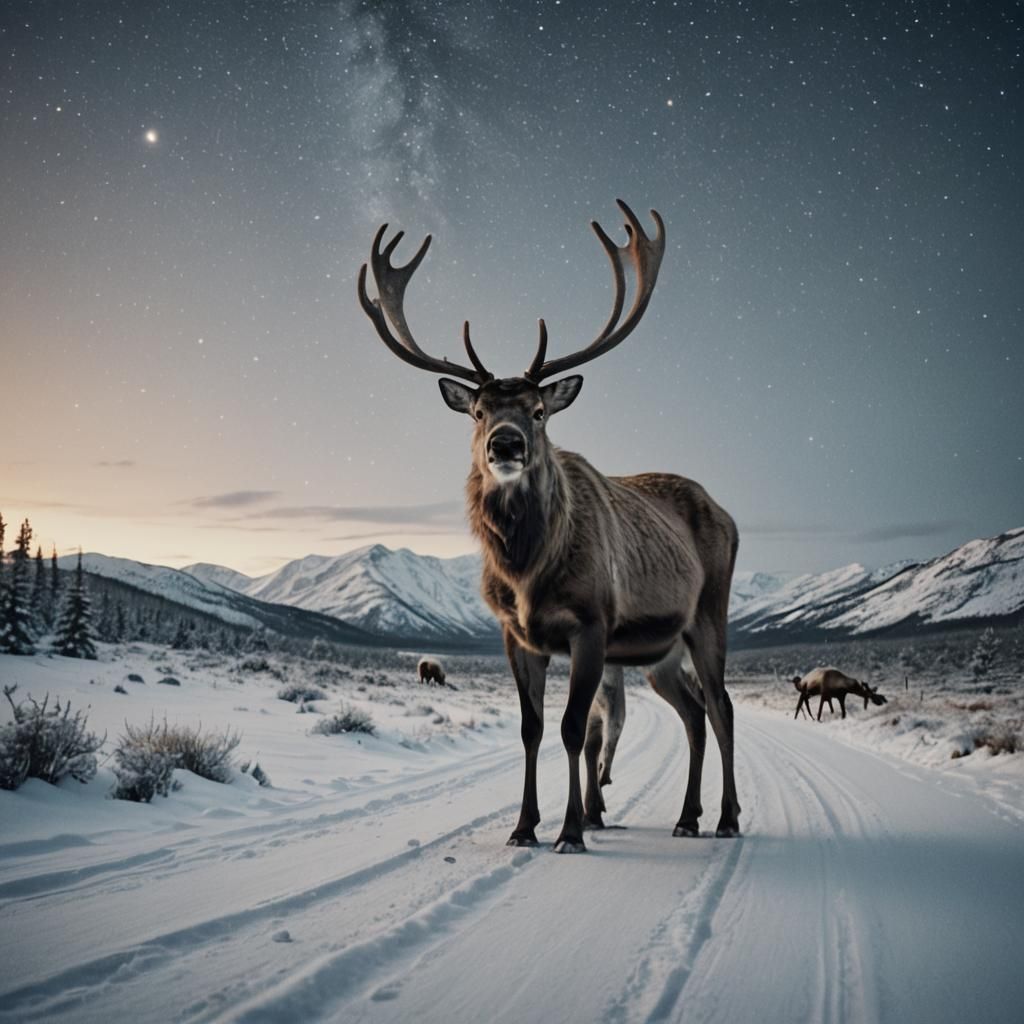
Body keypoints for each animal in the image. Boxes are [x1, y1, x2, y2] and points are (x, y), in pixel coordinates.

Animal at [357, 200, 740, 851]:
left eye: (538, 411)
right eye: (478, 411)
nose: (505, 443)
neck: (526, 572)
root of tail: (729, 515)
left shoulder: (591, 623)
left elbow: (572, 728)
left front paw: (570, 830)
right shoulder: (516, 635)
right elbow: (532, 729)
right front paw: (523, 826)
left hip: (709, 614)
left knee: (721, 707)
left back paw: (728, 818)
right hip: (661, 653)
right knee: (692, 712)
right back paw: (688, 818)